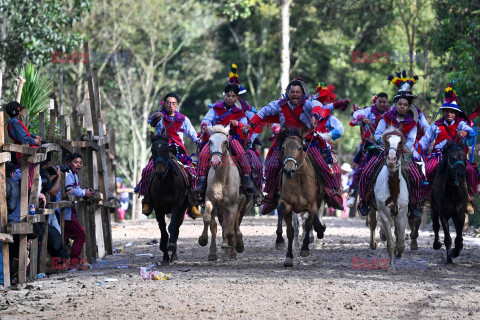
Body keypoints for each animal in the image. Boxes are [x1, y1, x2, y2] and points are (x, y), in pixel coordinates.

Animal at [149, 134, 190, 264]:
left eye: (166, 149)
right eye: (152, 150)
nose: (160, 171)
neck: (165, 183)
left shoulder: (176, 204)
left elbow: (172, 226)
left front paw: (171, 247)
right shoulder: (158, 207)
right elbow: (163, 229)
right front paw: (165, 254)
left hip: (182, 208)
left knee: (177, 226)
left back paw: (174, 254)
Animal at [197, 124, 246, 260]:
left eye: (225, 142)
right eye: (210, 141)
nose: (215, 161)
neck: (221, 180)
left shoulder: (233, 205)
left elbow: (230, 229)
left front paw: (231, 245)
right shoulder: (210, 200)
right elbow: (207, 219)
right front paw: (203, 240)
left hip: (241, 203)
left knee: (234, 223)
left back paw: (237, 244)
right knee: (218, 225)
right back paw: (214, 252)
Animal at [274, 127, 326, 268]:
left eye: (299, 148)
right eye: (283, 147)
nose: (289, 170)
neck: (298, 179)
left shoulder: (312, 205)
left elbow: (312, 223)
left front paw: (307, 246)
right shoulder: (286, 203)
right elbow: (289, 229)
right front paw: (281, 244)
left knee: (309, 223)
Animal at [368, 126, 408, 268]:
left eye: (400, 142)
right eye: (386, 141)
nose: (391, 159)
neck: (393, 190)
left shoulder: (402, 213)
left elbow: (400, 242)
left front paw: (398, 253)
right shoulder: (384, 214)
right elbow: (390, 243)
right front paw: (392, 267)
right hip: (372, 206)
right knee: (373, 223)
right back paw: (373, 243)